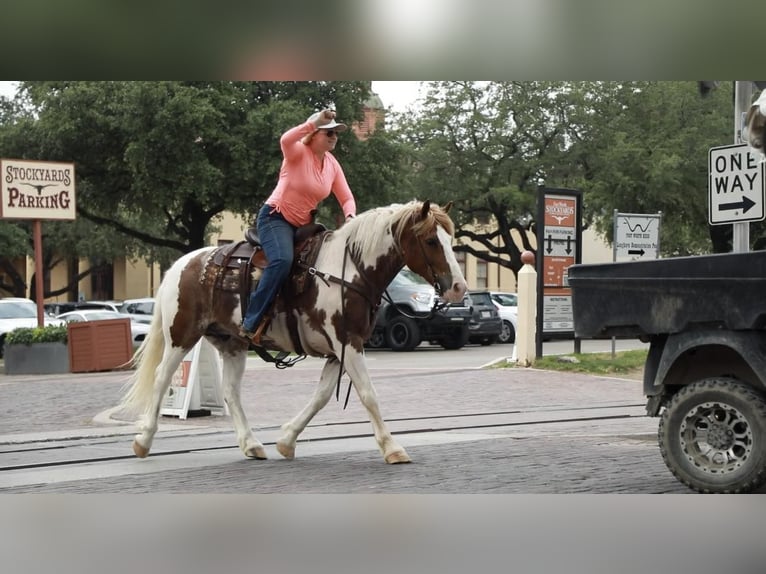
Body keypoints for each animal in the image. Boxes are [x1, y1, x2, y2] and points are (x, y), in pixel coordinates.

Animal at [119, 200, 468, 464]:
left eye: (451, 240)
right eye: (431, 240)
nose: (459, 288)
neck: (350, 271)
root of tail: (183, 263)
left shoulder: (339, 350)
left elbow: (322, 396)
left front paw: (287, 439)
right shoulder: (349, 343)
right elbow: (369, 394)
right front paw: (393, 448)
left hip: (231, 343)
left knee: (230, 392)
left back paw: (251, 444)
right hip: (182, 335)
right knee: (162, 378)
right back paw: (143, 440)